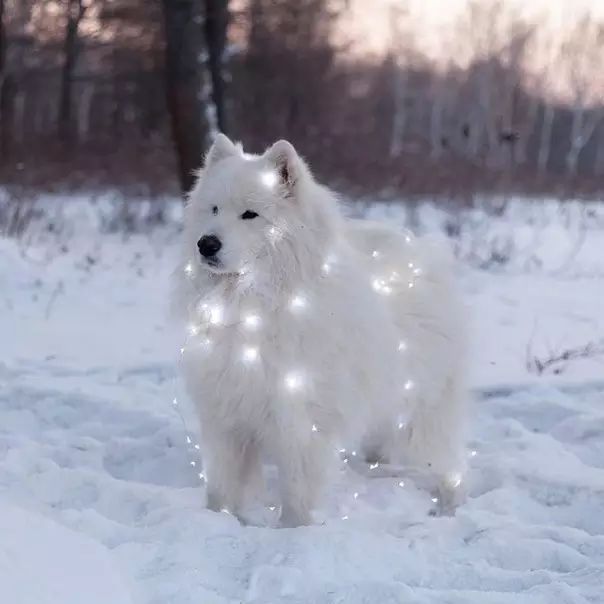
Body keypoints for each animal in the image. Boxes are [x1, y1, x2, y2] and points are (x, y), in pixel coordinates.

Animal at [172, 134, 470, 528]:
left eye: (250, 214)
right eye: (214, 209)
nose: (206, 244)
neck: (252, 306)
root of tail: (421, 252)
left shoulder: (301, 418)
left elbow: (297, 489)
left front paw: (293, 531)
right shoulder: (226, 413)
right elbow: (222, 483)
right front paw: (216, 520)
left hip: (420, 410)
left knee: (445, 464)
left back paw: (447, 502)